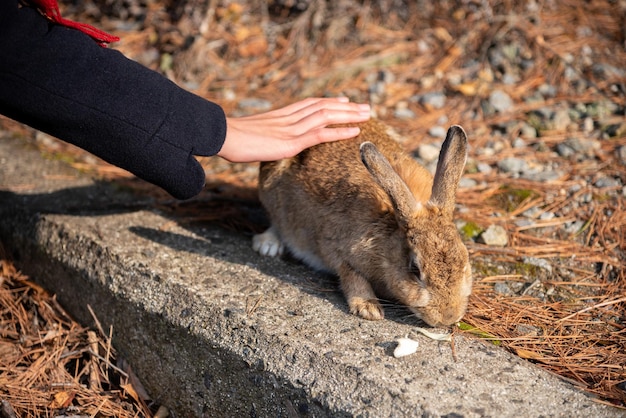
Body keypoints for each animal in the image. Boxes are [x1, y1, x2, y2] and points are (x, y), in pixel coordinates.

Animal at [251, 118, 470, 326]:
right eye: (415, 270)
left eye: (464, 261)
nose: (448, 317)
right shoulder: (336, 249)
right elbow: (351, 276)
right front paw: (368, 308)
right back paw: (268, 245)